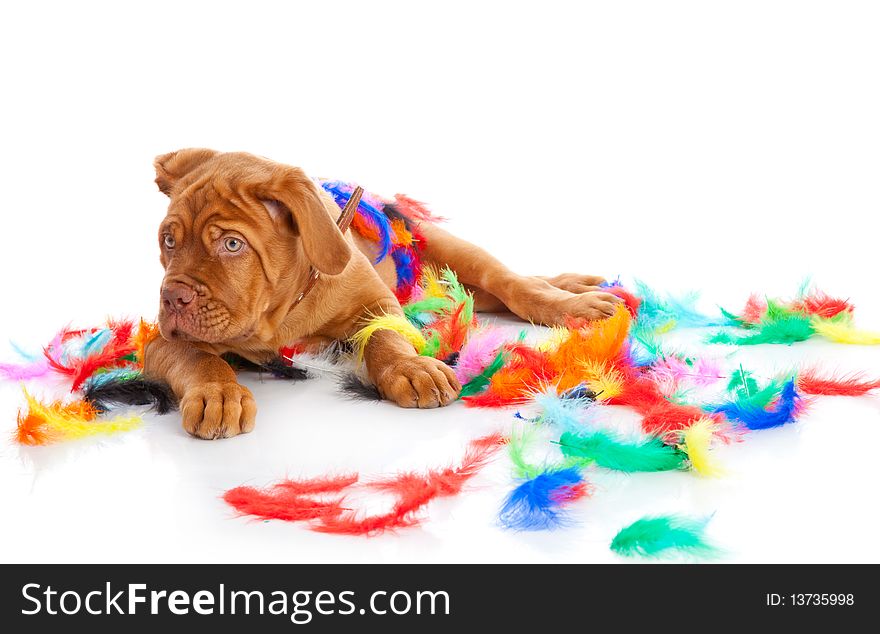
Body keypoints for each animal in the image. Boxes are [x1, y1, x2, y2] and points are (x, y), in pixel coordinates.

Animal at [146, 149, 620, 436]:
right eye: (168, 241)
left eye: (232, 245)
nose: (173, 299)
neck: (282, 313)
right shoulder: (159, 343)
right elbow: (197, 356)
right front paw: (217, 393)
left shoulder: (377, 303)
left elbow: (386, 336)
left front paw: (413, 369)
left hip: (456, 253)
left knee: (513, 283)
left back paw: (576, 302)